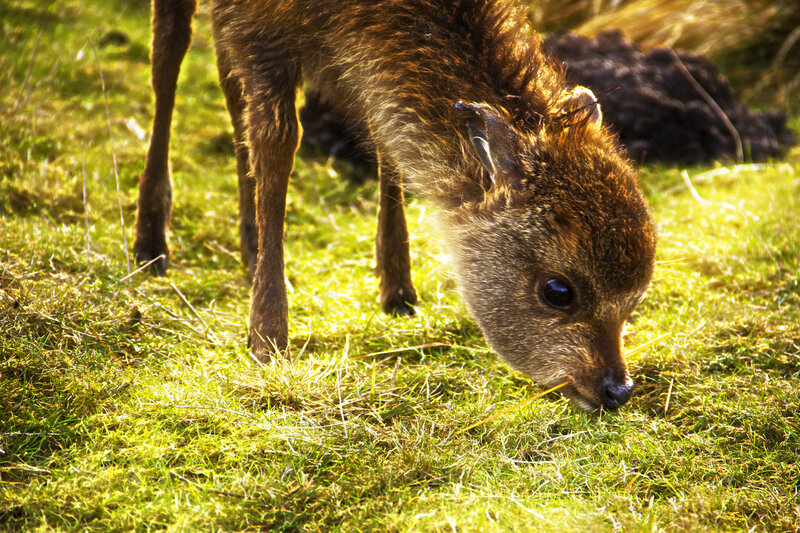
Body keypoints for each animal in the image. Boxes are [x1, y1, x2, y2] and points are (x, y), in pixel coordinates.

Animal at [134, 0, 657, 411]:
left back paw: (247, 244)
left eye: (636, 296)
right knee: (168, 56)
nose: (617, 389)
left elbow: (384, 136)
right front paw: (267, 340)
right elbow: (278, 143)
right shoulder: (261, 30)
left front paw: (398, 290)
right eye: (558, 290)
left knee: (223, 78)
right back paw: (150, 242)